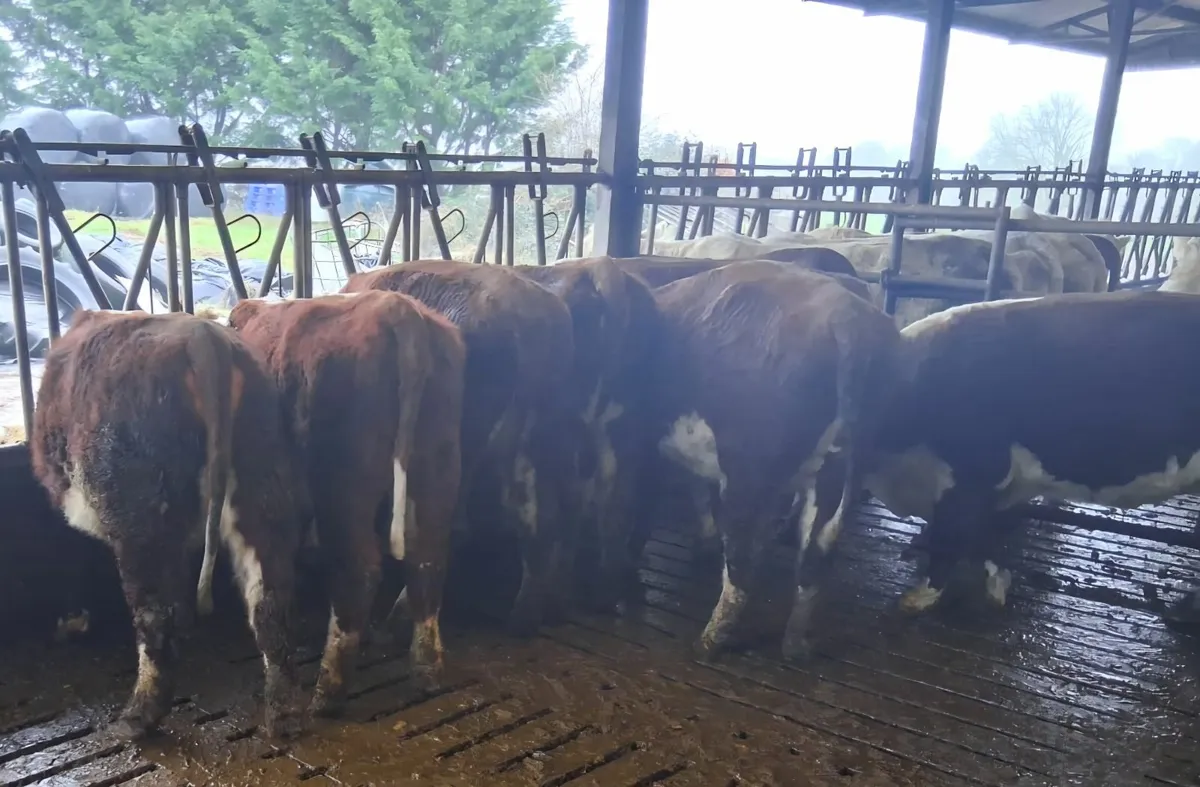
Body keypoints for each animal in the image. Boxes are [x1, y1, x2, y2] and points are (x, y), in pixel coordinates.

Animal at [30, 309, 306, 741]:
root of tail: (203, 336)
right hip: (262, 495)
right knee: (270, 600)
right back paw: (285, 715)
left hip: (142, 522)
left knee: (158, 617)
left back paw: (137, 718)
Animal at [226, 291, 466, 717]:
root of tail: (396, 308)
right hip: (436, 467)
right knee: (428, 560)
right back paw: (426, 668)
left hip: (343, 486)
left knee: (358, 571)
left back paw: (328, 692)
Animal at [342, 260, 576, 635]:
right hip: (541, 435)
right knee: (543, 516)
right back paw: (525, 618)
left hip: (462, 442)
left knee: (452, 524)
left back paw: (396, 621)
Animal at [514, 257, 662, 612]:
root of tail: (601, 266)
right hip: (625, 427)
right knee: (615, 503)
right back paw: (606, 590)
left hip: (563, 430)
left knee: (567, 505)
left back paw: (550, 595)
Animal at [648, 260, 900, 661]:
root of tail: (846, 317)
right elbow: (698, 489)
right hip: (836, 471)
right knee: (814, 557)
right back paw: (795, 646)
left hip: (750, 474)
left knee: (743, 565)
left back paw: (708, 642)